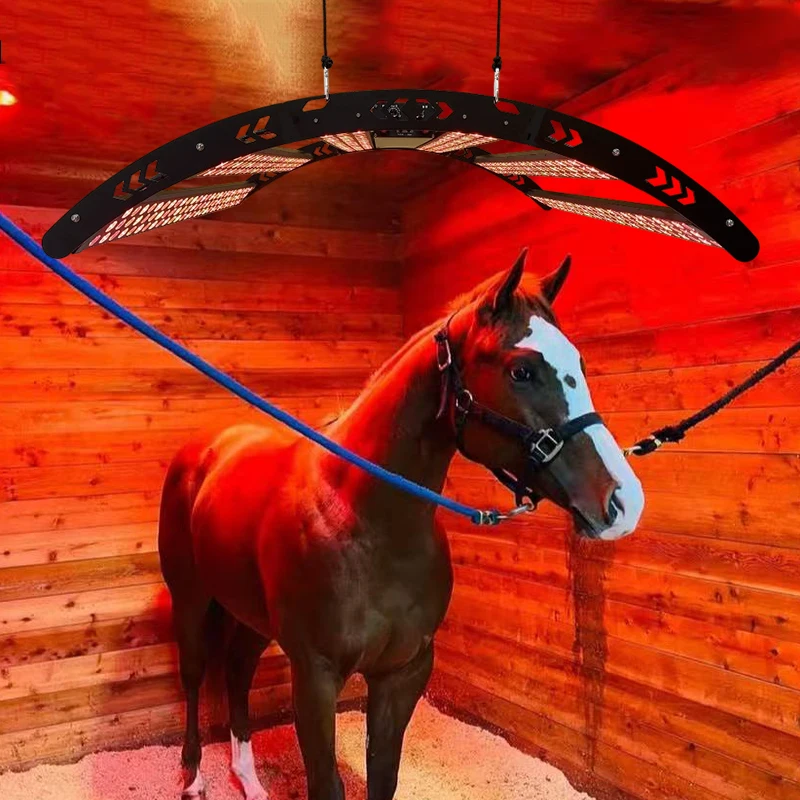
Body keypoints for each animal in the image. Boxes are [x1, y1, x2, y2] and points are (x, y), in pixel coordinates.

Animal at [158, 248, 644, 800]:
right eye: (521, 370)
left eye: (579, 362)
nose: (621, 500)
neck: (365, 522)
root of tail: (206, 447)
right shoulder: (315, 677)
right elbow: (327, 783)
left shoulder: (402, 673)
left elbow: (384, 778)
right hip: (191, 597)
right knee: (195, 675)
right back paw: (195, 778)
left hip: (250, 614)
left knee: (237, 671)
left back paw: (248, 779)